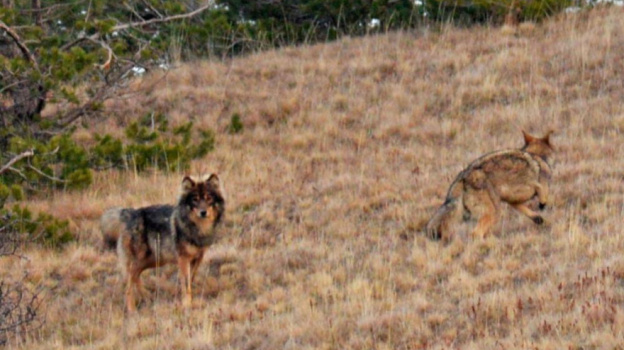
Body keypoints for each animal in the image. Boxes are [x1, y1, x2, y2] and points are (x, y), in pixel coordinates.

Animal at [102, 174, 227, 312]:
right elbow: (186, 282)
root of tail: (130, 213)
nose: (203, 212)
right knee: (128, 284)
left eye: (208, 198)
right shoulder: (183, 259)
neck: (198, 229)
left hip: (152, 261)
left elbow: (191, 279)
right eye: (195, 200)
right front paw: (186, 304)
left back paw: (147, 296)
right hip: (139, 261)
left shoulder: (198, 258)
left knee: (136, 276)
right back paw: (132, 309)